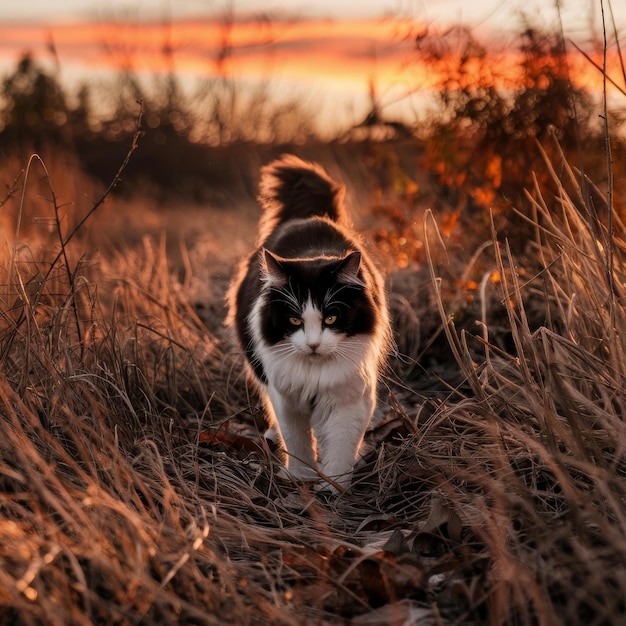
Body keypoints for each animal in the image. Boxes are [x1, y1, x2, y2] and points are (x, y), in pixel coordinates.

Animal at [224, 154, 390, 490]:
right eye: (294, 319)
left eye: (331, 317)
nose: (313, 344)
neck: (315, 373)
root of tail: (308, 217)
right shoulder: (287, 399)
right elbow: (298, 442)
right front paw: (302, 479)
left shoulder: (349, 398)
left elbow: (340, 446)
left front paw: (333, 489)